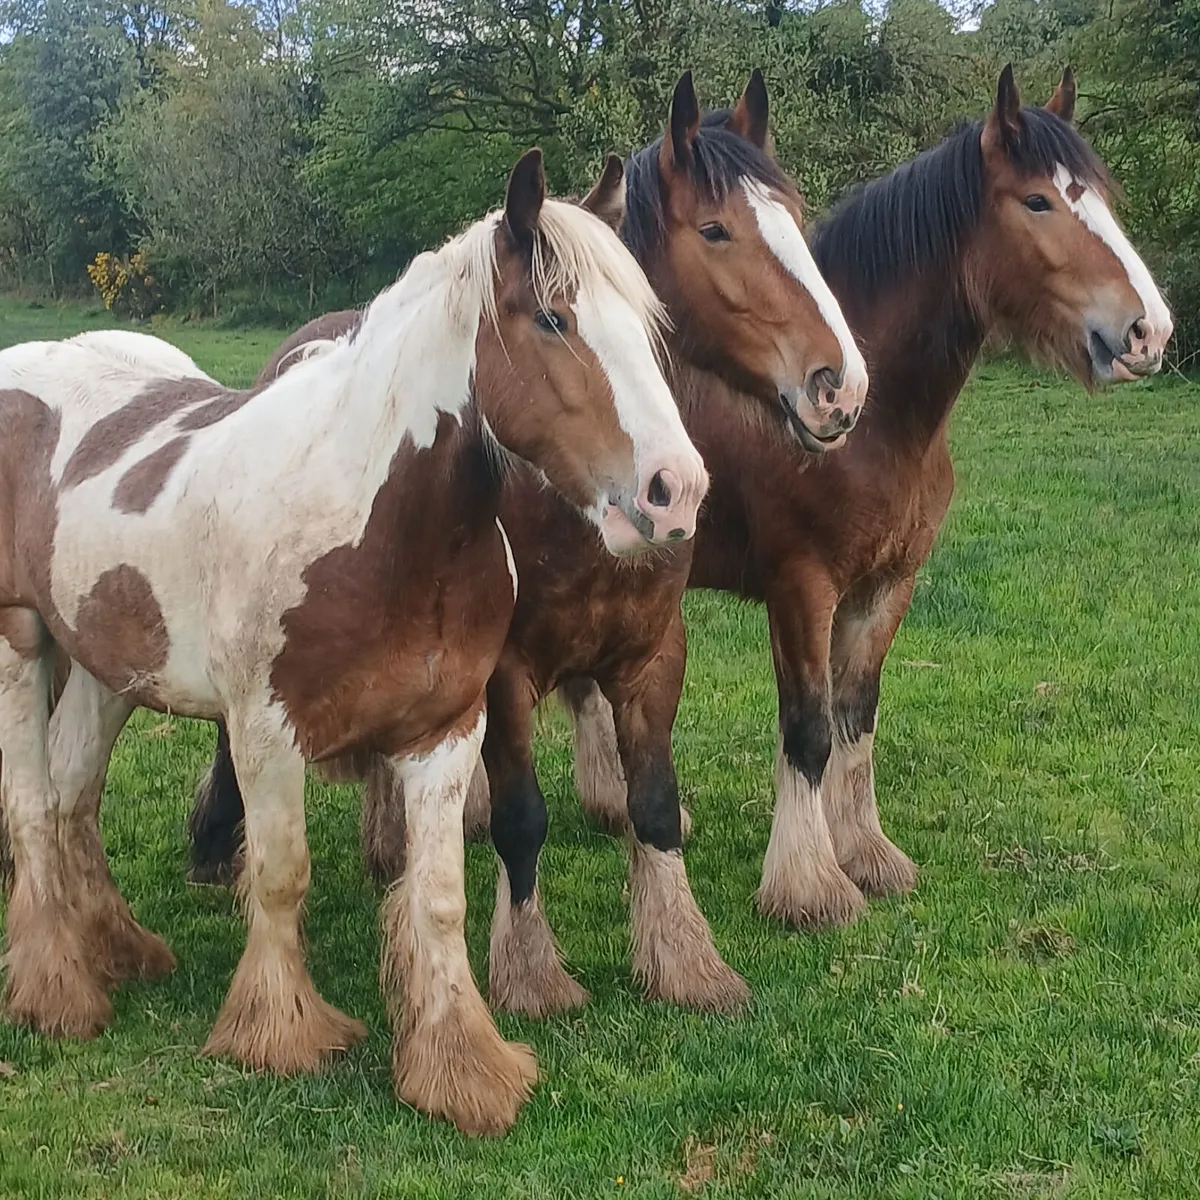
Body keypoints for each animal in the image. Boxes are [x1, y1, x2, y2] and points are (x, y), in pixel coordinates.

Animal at [0, 148, 709, 1136]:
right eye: (555, 318)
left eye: (645, 329)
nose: (676, 490)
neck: (376, 525)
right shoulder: (265, 733)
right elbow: (280, 876)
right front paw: (281, 1033)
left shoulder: (446, 733)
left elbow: (441, 897)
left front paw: (461, 1067)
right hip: (22, 644)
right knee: (31, 805)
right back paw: (57, 989)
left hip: (110, 670)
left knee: (72, 796)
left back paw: (115, 949)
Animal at [183, 71, 869, 1017]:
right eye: (716, 229)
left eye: (796, 216)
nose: (840, 385)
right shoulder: (502, 673)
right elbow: (522, 819)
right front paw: (531, 972)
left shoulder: (653, 655)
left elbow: (654, 804)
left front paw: (685, 960)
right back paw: (221, 842)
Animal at [554, 65, 1174, 928]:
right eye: (1037, 202)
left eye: (1102, 197)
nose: (1150, 332)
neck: (879, 427)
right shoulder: (802, 587)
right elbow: (809, 728)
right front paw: (809, 886)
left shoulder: (887, 587)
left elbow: (858, 717)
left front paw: (868, 856)